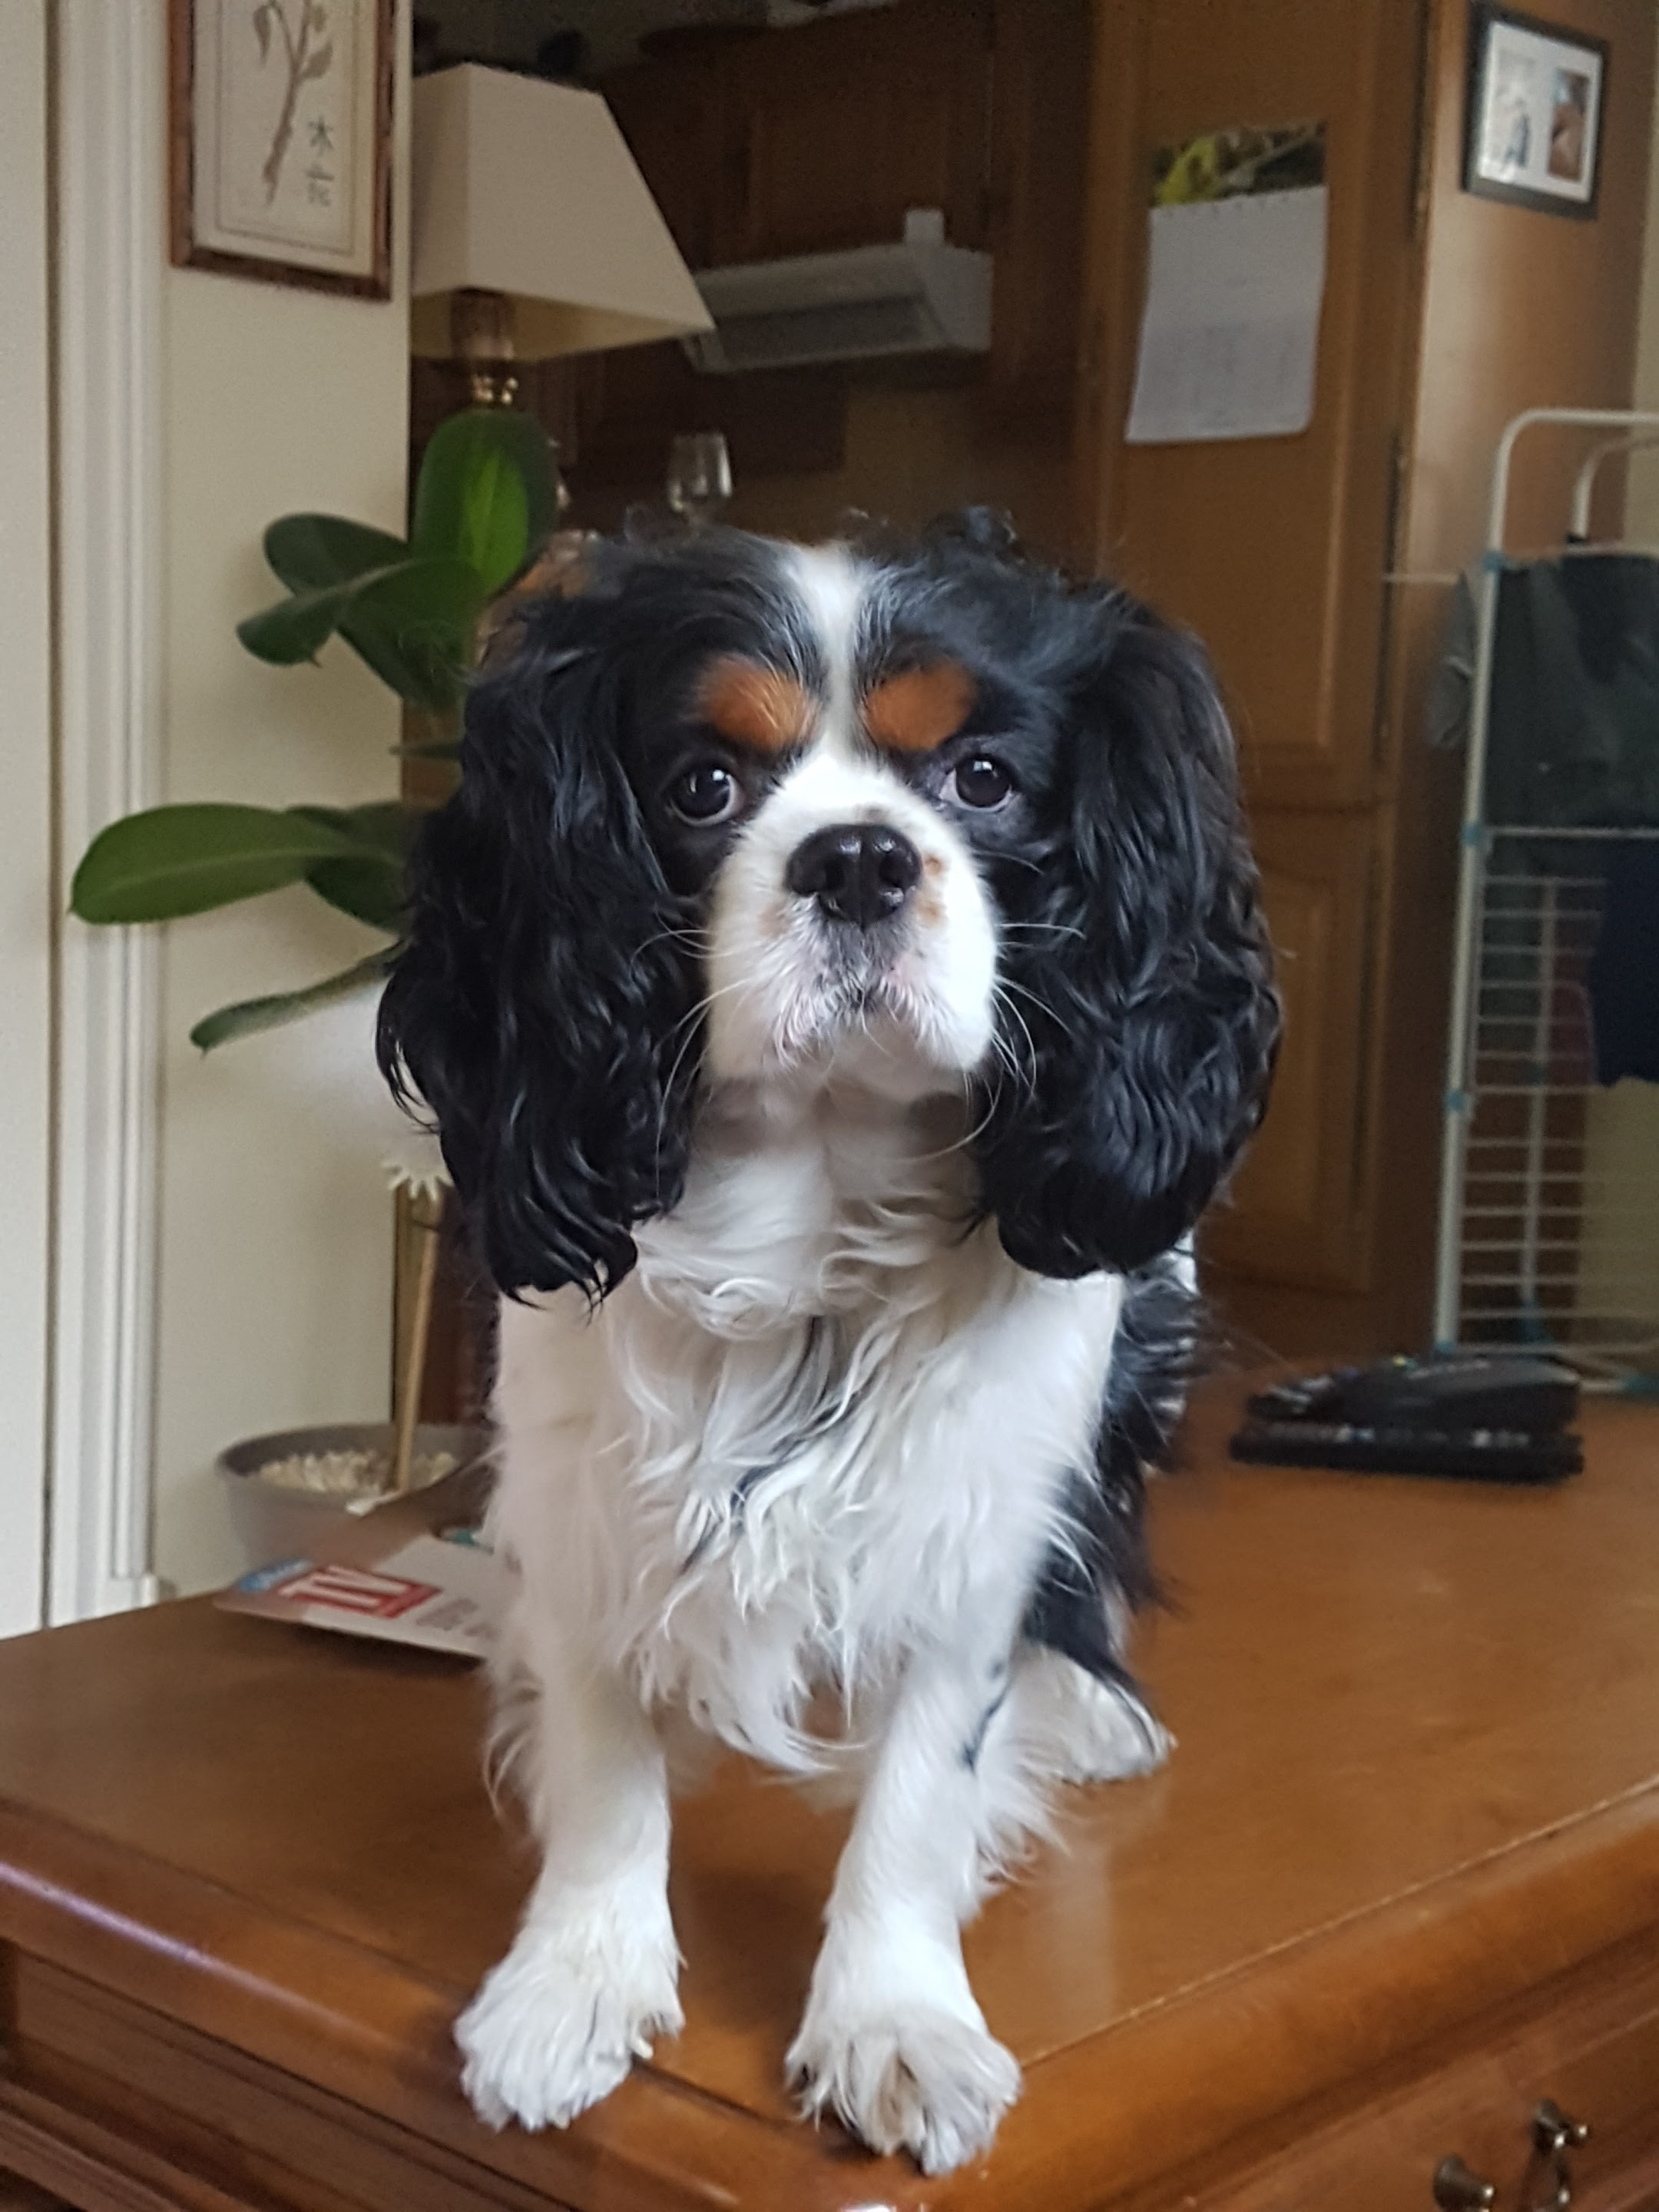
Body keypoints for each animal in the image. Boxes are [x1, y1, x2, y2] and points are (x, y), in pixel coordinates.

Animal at [377, 515, 1278, 2173]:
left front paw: (894, 2020)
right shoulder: (580, 1490)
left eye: (982, 780)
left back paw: (1091, 1706)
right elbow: (601, 1750)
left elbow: (921, 1789)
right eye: (702, 786)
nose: (857, 857)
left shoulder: (973, 1519)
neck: (817, 1202)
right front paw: (574, 1982)